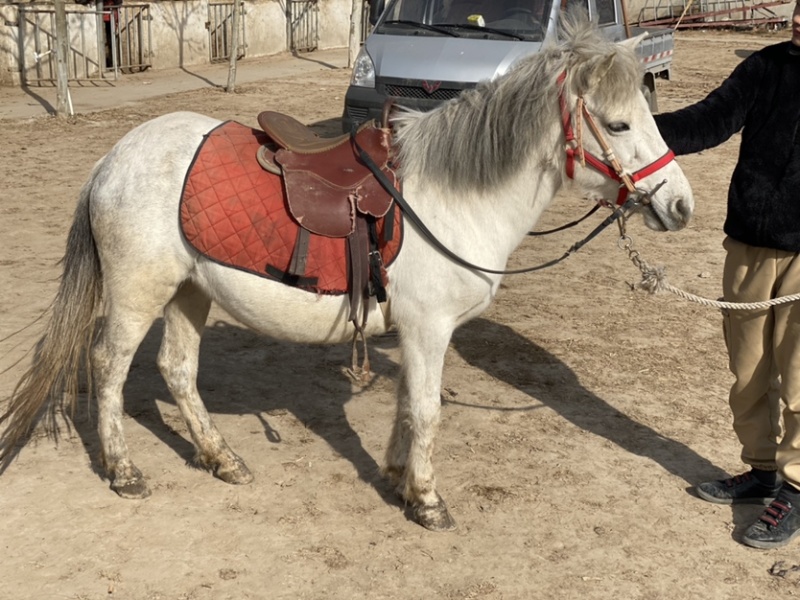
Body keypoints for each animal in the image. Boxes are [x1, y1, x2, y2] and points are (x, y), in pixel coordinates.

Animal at [0, 14, 693, 531]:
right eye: (618, 123)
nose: (681, 205)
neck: (453, 197)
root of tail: (115, 157)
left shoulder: (415, 332)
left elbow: (409, 406)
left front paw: (398, 479)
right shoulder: (430, 328)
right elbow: (427, 409)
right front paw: (428, 502)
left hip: (190, 291)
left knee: (176, 369)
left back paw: (222, 460)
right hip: (138, 293)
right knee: (108, 368)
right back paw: (123, 472)